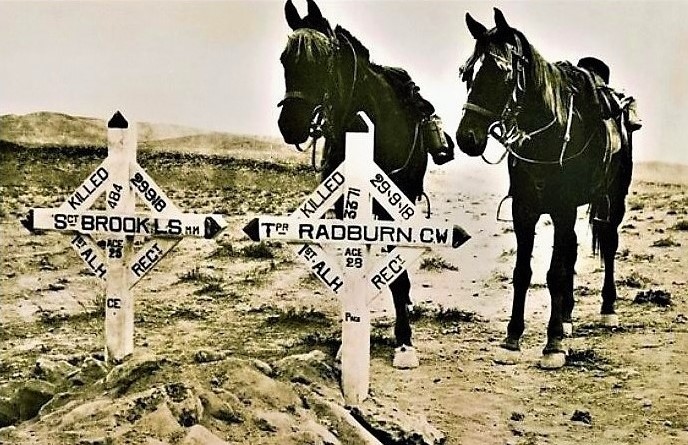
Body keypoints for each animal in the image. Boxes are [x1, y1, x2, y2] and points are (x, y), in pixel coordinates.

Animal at [274, 0, 456, 368]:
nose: (291, 124)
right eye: (285, 59)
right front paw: (349, 342)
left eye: (321, 59)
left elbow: (398, 279)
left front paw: (404, 343)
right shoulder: (347, 203)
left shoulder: (394, 205)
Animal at [454, 8, 636, 368]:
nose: (466, 137)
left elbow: (554, 273)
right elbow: (523, 271)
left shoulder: (563, 208)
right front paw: (512, 337)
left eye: (501, 72)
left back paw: (607, 310)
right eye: (467, 74)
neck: (549, 136)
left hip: (614, 198)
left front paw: (553, 344)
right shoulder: (524, 209)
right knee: (573, 249)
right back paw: (566, 316)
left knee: (608, 245)